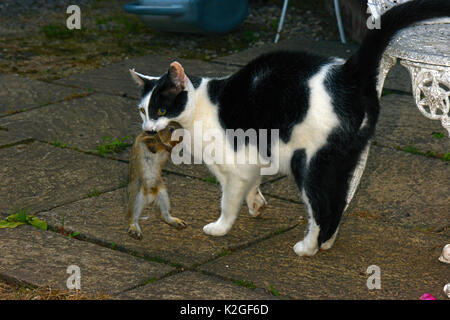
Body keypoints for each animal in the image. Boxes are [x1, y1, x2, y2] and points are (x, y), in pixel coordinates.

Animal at [128, 0, 448, 255]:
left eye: (161, 109)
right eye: (142, 110)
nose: (148, 127)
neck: (199, 108)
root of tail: (348, 72)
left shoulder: (235, 163)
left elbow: (228, 200)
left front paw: (220, 227)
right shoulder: (248, 159)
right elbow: (251, 184)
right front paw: (256, 204)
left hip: (310, 161)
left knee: (321, 206)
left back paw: (307, 248)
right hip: (344, 158)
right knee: (338, 201)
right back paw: (326, 242)